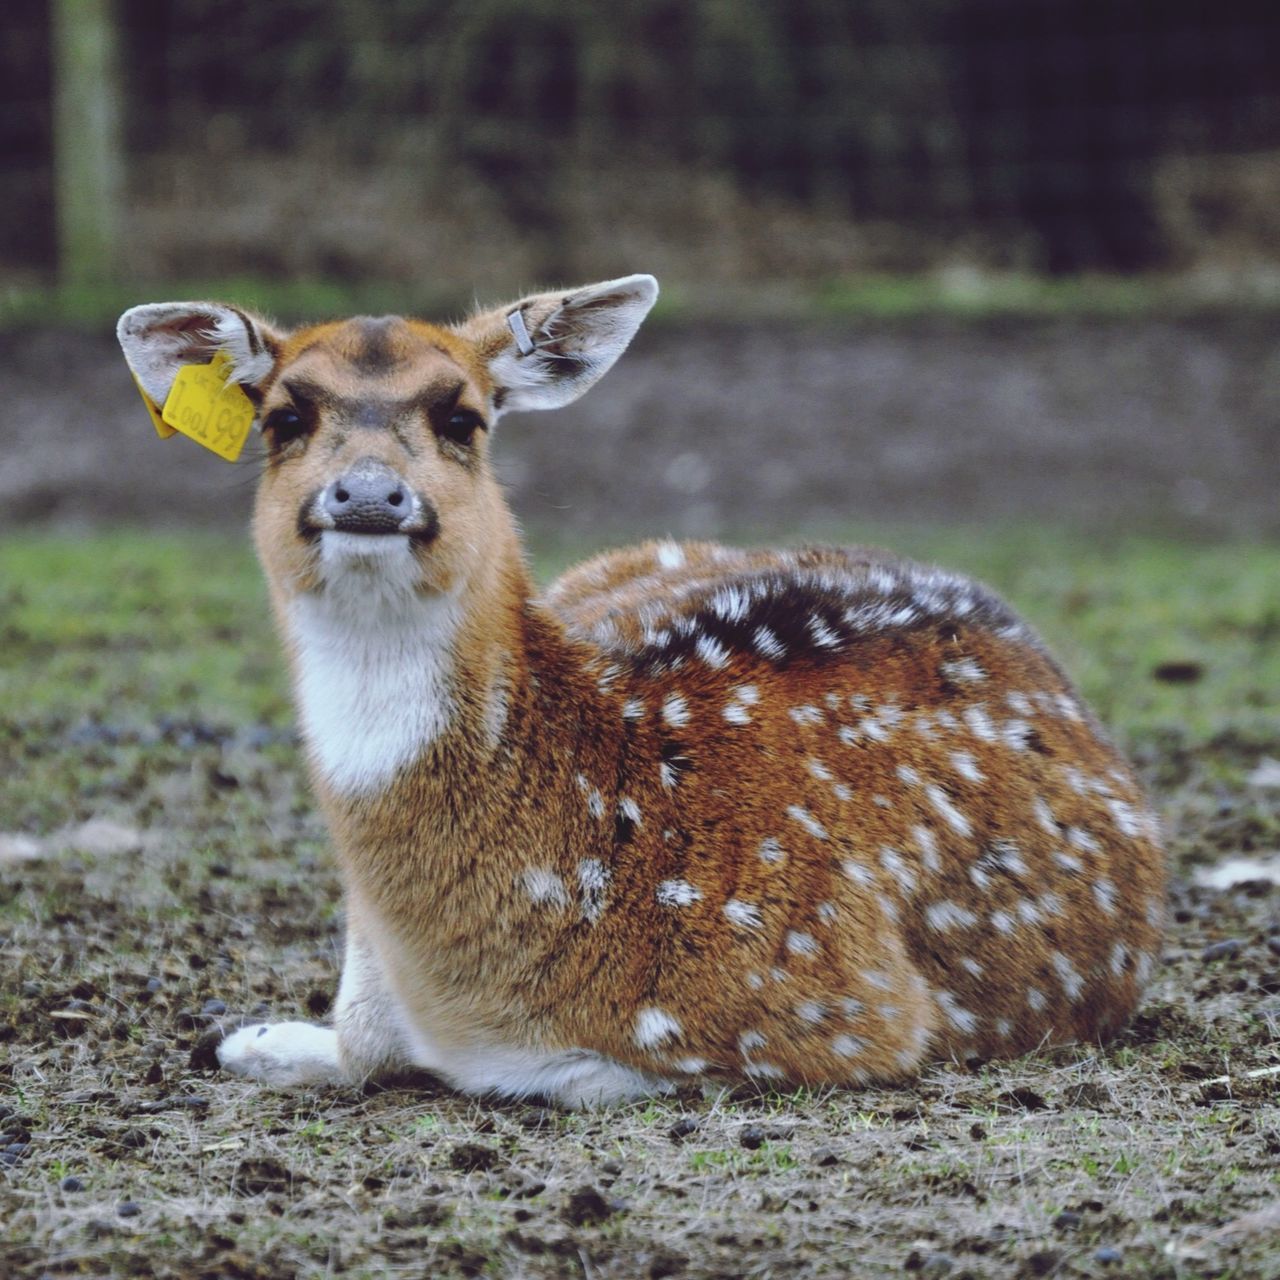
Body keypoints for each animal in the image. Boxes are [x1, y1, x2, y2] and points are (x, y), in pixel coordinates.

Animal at [115, 275, 1167, 1105]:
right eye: (282, 417)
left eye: (464, 417)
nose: (370, 496)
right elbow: (363, 1038)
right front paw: (242, 1038)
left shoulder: (856, 1008)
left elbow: (532, 1069)